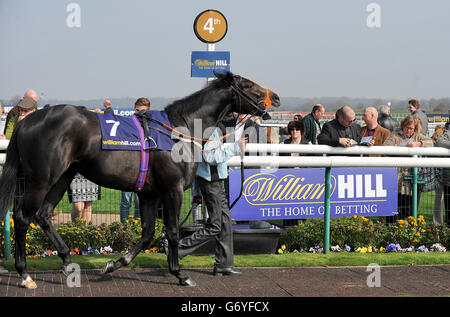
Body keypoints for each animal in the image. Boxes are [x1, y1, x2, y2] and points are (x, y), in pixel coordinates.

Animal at [0, 71, 280, 286]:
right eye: (247, 84)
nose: (276, 97)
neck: (180, 129)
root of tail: (26, 122)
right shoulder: (172, 189)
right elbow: (172, 231)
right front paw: (180, 274)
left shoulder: (149, 193)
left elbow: (147, 234)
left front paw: (114, 264)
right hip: (41, 179)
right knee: (23, 217)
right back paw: (24, 275)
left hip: (63, 175)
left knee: (44, 214)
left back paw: (67, 259)